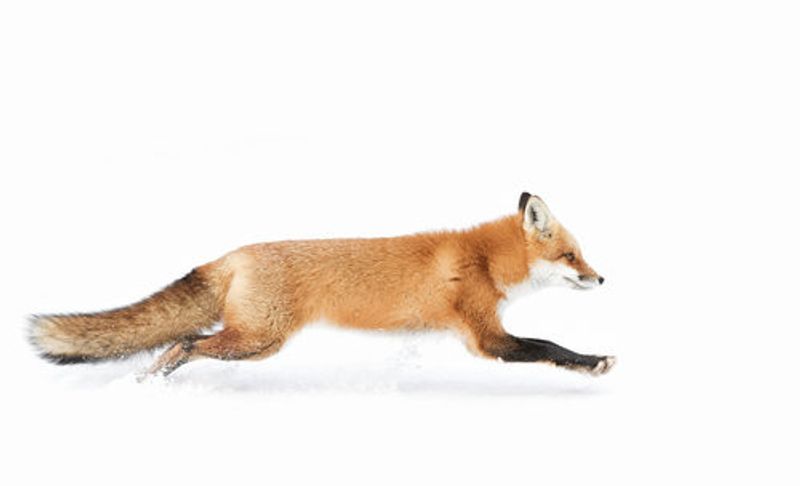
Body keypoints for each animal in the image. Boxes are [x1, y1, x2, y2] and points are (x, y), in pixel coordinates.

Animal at [29, 192, 615, 378]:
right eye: (571, 256)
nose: (601, 277)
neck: (483, 260)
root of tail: (232, 255)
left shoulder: (485, 334)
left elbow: (545, 343)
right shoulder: (486, 338)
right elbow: (548, 345)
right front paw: (594, 363)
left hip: (256, 345)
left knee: (182, 343)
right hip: (256, 341)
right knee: (183, 343)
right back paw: (148, 385)